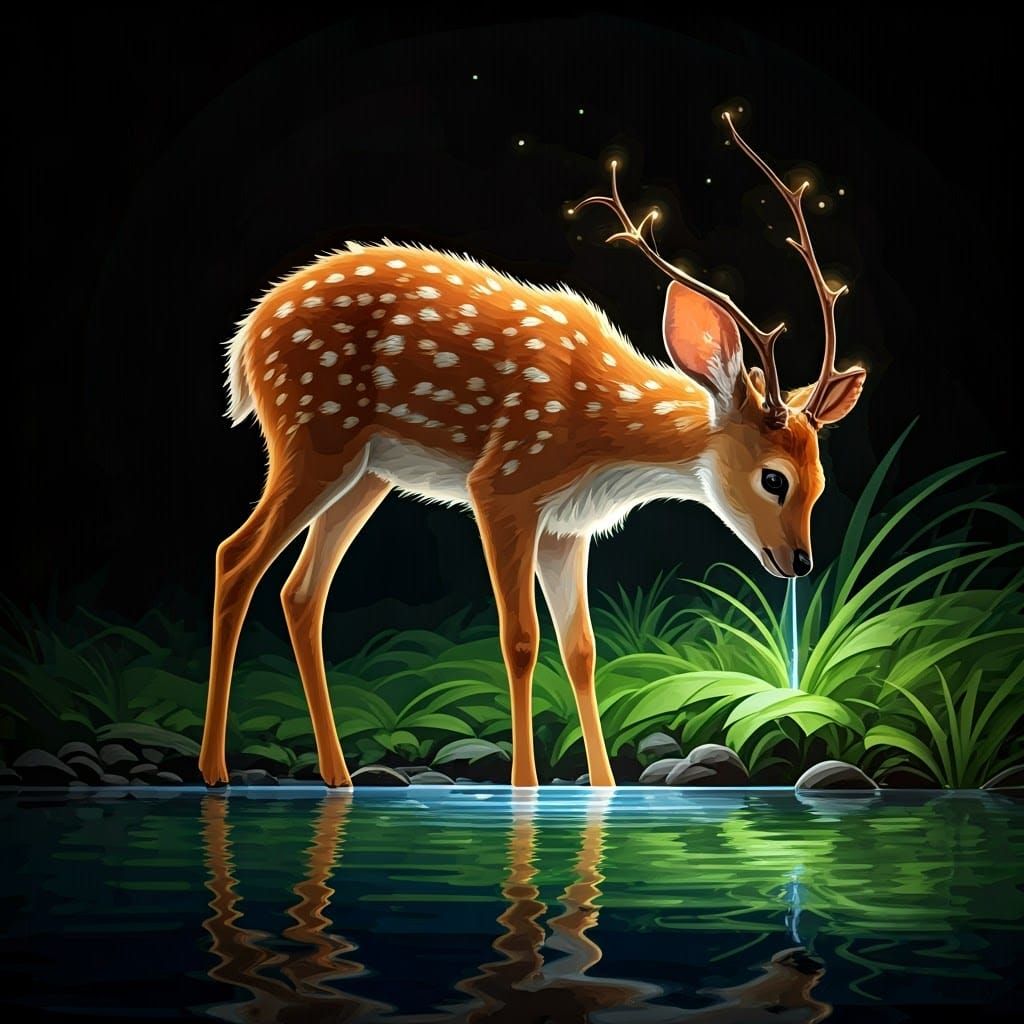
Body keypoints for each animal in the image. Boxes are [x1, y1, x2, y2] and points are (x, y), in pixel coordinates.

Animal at [199, 112, 865, 790]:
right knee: (235, 557)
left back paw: (338, 775)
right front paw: (525, 783)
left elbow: (582, 649)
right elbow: (521, 639)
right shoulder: (504, 482)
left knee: (301, 592)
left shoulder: (568, 527)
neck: (603, 433)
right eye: (774, 479)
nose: (800, 562)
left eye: (819, 482)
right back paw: (215, 768)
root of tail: (246, 341)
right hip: (315, 432)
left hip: (368, 471)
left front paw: (605, 785)